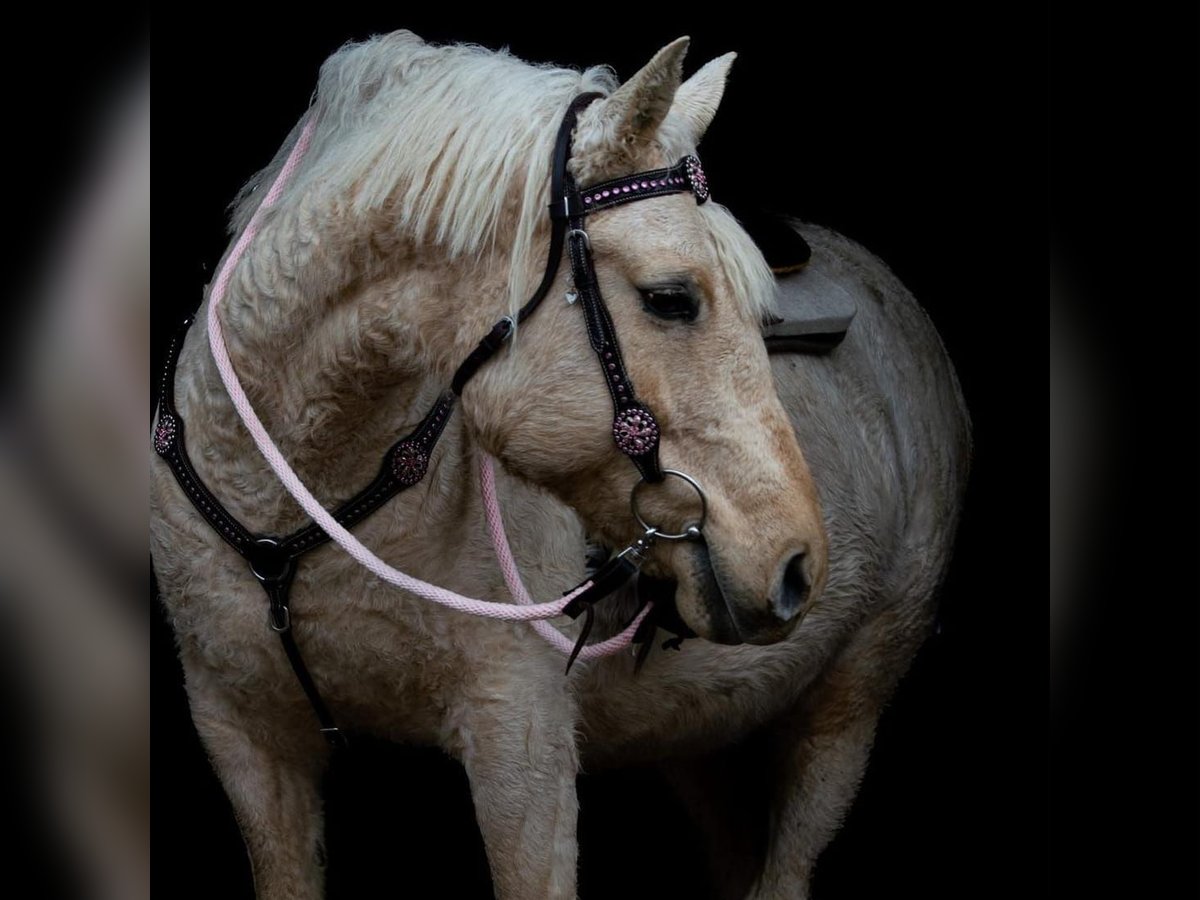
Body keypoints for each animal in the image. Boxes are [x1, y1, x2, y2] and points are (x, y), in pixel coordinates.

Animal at [152, 31, 974, 897]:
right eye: (672, 299)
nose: (797, 562)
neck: (291, 491)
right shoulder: (245, 740)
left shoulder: (520, 746)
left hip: (849, 704)